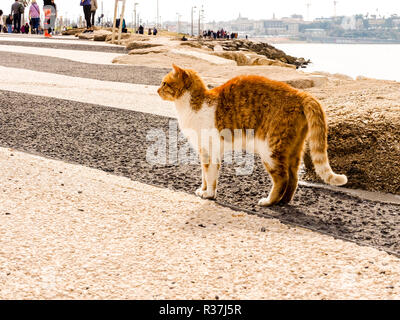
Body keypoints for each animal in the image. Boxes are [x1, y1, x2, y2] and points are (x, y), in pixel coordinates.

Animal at [157, 63, 346, 206]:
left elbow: (210, 176)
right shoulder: (203, 152)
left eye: (164, 83)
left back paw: (269, 201)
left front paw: (209, 194)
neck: (193, 106)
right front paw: (203, 190)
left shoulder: (211, 151)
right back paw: (283, 202)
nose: (157, 91)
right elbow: (204, 175)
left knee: (282, 179)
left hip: (270, 150)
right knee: (294, 178)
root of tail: (300, 93)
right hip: (292, 151)